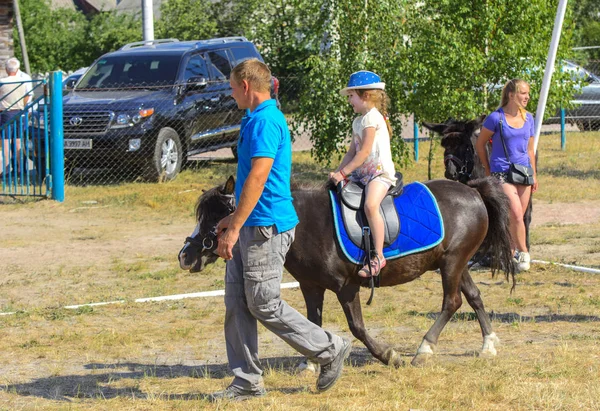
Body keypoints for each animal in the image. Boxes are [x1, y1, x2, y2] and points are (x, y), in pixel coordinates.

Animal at [179, 177, 516, 366]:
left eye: (217, 216)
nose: (185, 255)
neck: (303, 223)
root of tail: (472, 191)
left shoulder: (347, 287)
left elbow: (357, 327)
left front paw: (388, 355)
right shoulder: (311, 286)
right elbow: (312, 322)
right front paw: (311, 363)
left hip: (452, 263)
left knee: (452, 302)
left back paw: (424, 348)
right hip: (454, 263)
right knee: (473, 296)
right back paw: (488, 344)